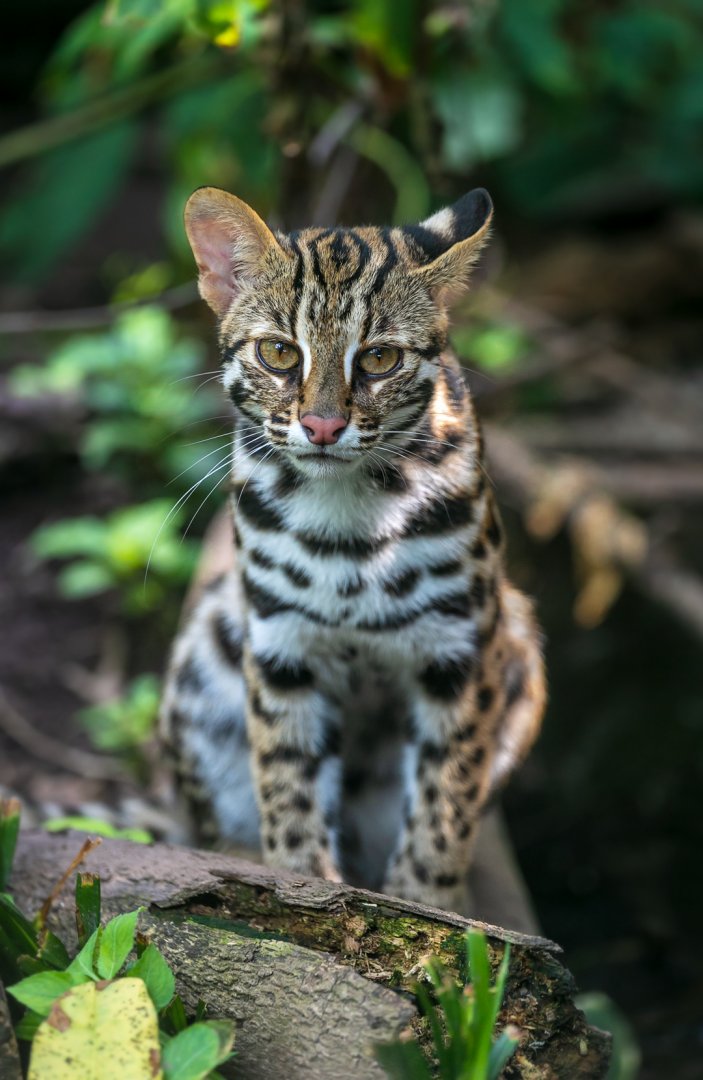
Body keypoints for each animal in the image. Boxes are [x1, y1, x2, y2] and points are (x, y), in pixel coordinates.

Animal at [159, 184, 546, 913]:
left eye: (378, 359)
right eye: (280, 354)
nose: (321, 426)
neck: (350, 518)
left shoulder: (463, 648)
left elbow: (444, 807)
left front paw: (428, 910)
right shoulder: (280, 645)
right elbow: (287, 784)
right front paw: (296, 887)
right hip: (211, 640)